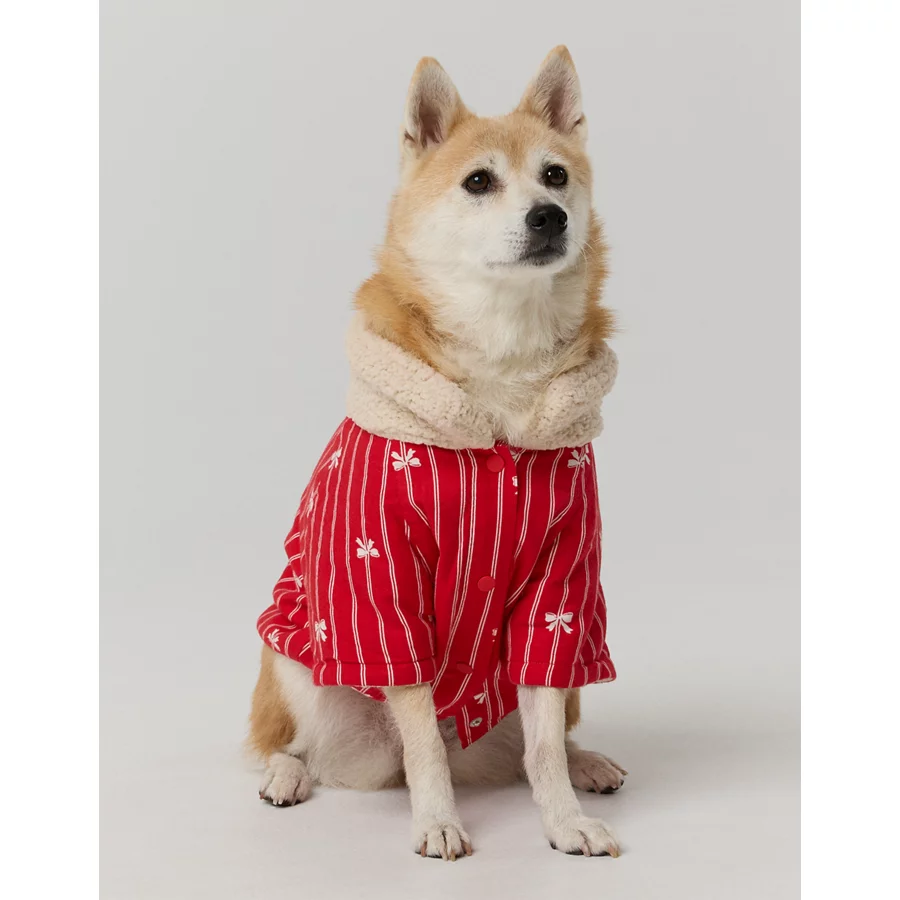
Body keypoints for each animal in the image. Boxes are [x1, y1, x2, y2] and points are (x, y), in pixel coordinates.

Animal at [249, 46, 626, 861]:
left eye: (556, 175)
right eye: (479, 181)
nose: (548, 216)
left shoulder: (559, 591)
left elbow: (542, 743)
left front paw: (564, 820)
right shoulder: (383, 587)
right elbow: (421, 739)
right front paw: (438, 820)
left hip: (569, 678)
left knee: (534, 741)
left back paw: (587, 764)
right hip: (297, 663)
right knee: (296, 746)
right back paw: (286, 776)